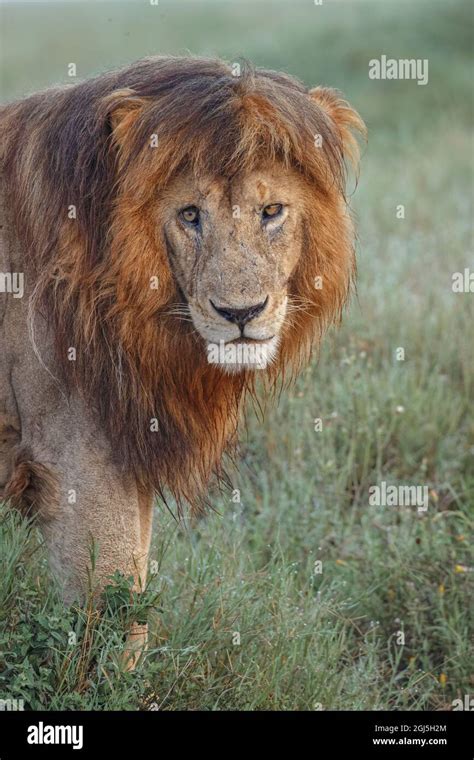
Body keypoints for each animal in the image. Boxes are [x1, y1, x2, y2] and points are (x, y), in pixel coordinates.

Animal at [0, 56, 364, 664]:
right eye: (191, 215)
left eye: (271, 211)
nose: (240, 312)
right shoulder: (75, 458)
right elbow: (115, 606)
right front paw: (111, 680)